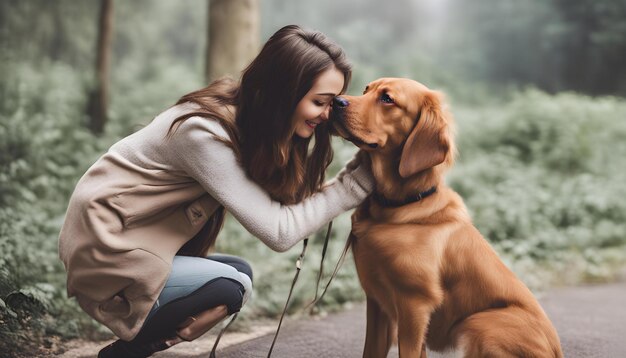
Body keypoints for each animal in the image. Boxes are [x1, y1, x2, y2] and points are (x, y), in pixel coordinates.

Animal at [332, 79, 560, 358]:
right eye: (365, 90)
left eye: (387, 99)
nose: (335, 102)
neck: (399, 205)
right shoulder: (377, 303)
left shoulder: (414, 303)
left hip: (479, 322)